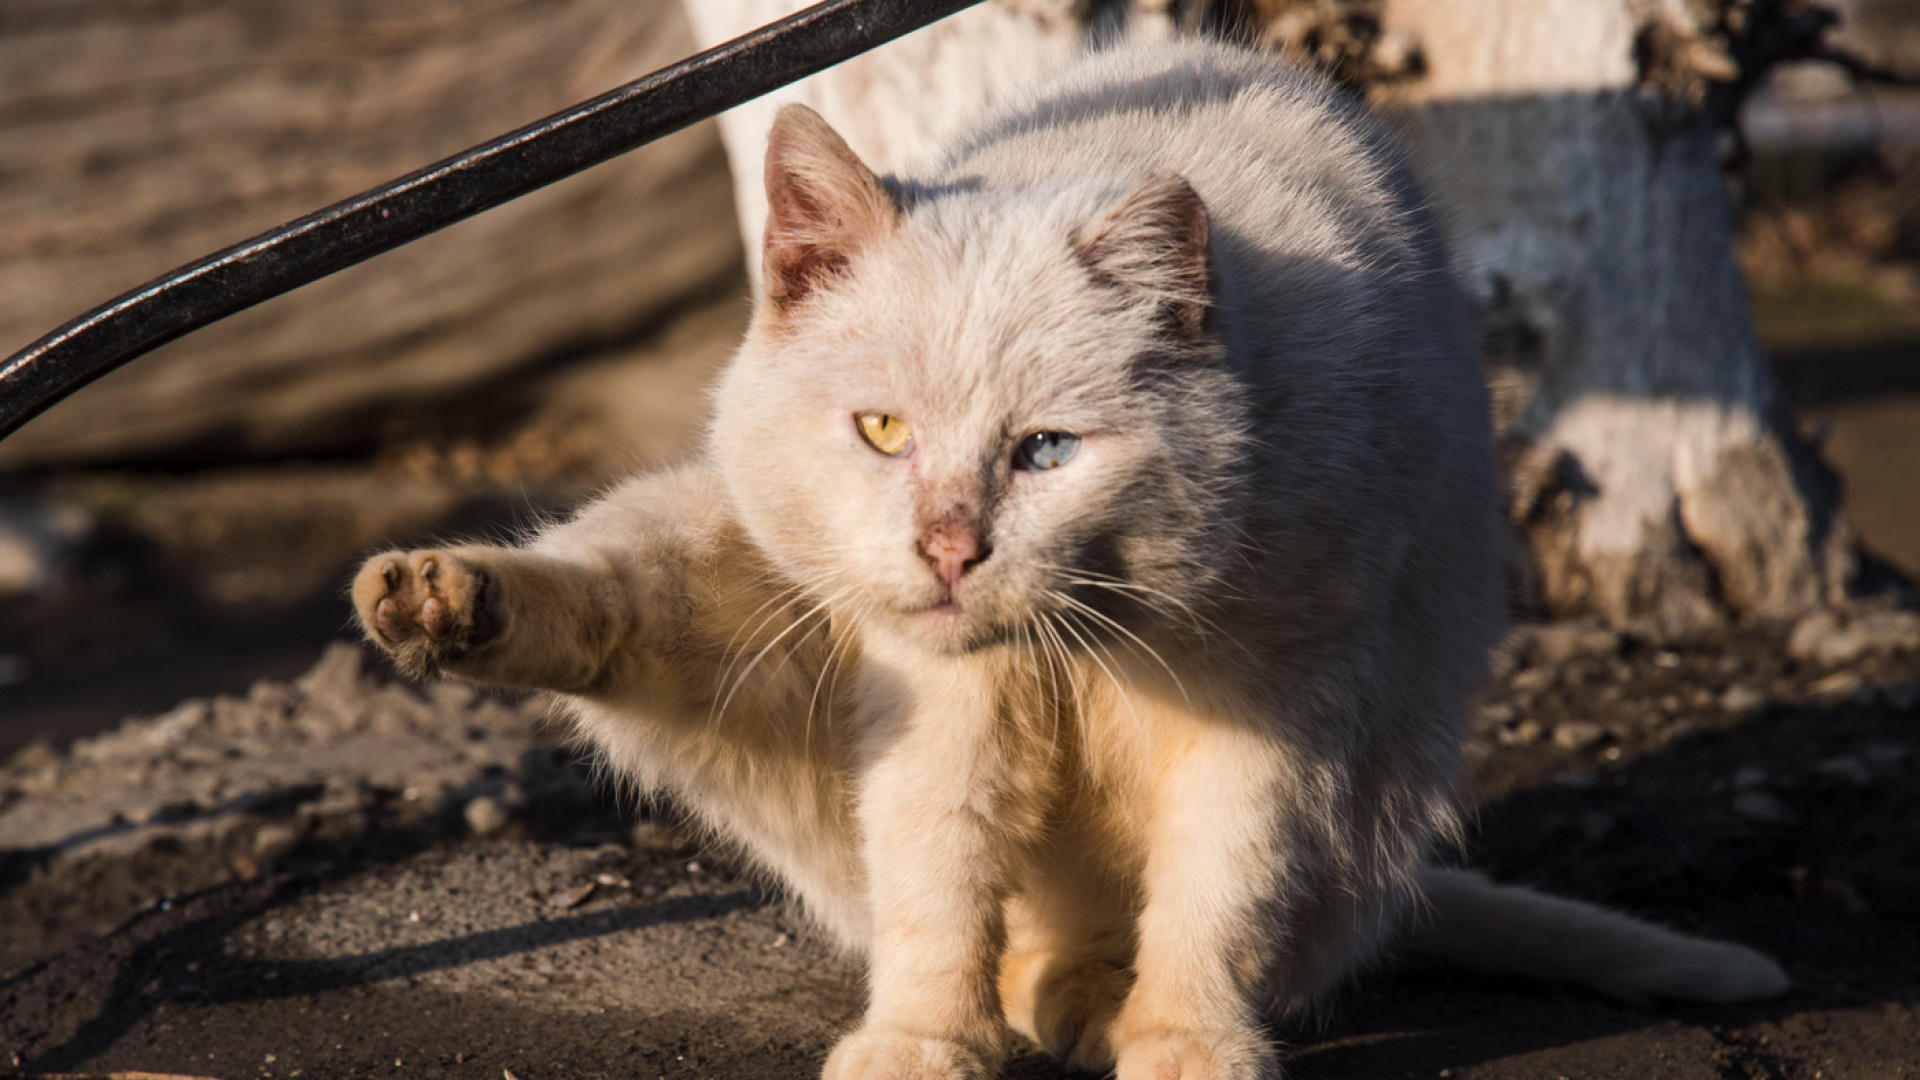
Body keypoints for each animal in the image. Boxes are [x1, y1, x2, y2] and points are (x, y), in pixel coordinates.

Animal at [353, 39, 1789, 1076]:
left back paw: (1082, 998)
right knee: (614, 608)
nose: (948, 548)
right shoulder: (934, 707)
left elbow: (1221, 889)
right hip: (742, 584)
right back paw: (442, 601)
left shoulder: (1282, 700)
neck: (1088, 639)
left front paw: (1189, 1044)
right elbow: (936, 878)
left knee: (1152, 932)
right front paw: (922, 1044)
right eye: (883, 431)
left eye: (1044, 451)